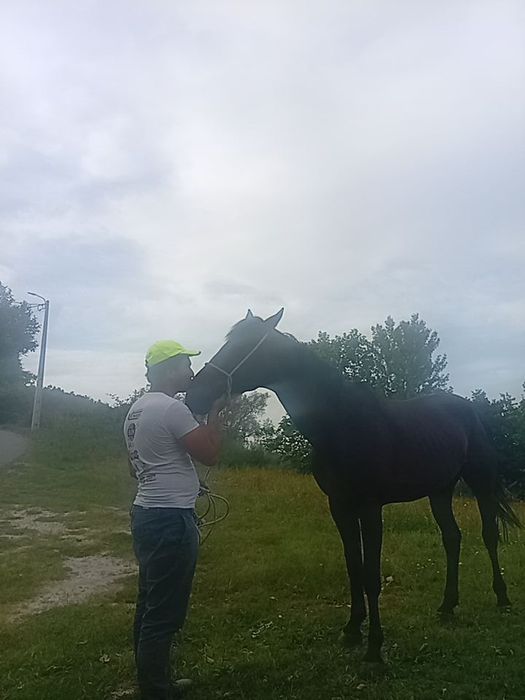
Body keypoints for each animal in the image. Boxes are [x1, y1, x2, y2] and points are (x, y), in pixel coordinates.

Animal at [185, 309, 520, 663]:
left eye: (244, 346)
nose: (196, 393)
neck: (342, 425)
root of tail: (469, 409)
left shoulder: (370, 507)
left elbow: (371, 574)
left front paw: (374, 647)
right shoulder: (340, 505)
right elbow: (353, 567)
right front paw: (352, 628)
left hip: (480, 483)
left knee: (489, 535)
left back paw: (502, 598)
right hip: (440, 490)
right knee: (452, 538)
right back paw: (447, 605)